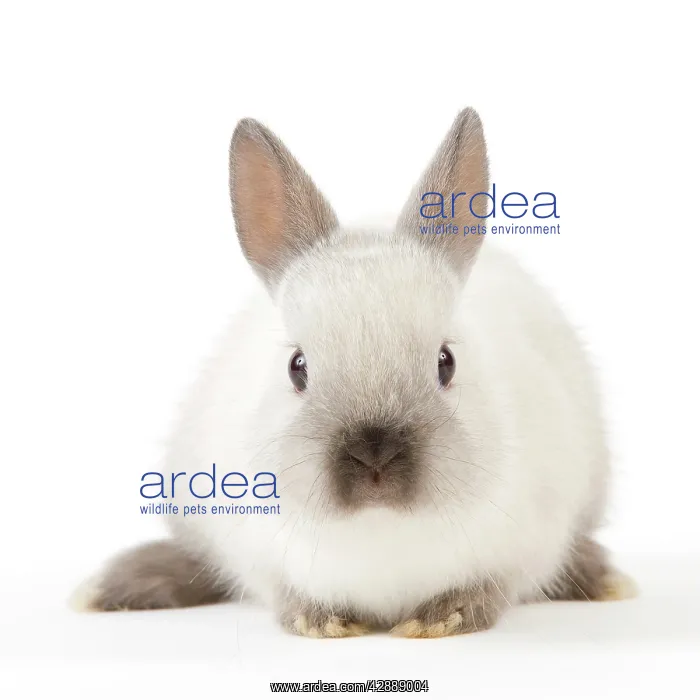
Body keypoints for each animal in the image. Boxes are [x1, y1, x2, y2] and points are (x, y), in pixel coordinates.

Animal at [72, 108, 636, 638]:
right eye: (297, 368)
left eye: (446, 362)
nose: (375, 457)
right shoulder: (252, 550)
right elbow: (282, 591)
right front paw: (320, 622)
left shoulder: (532, 542)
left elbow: (490, 589)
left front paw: (439, 620)